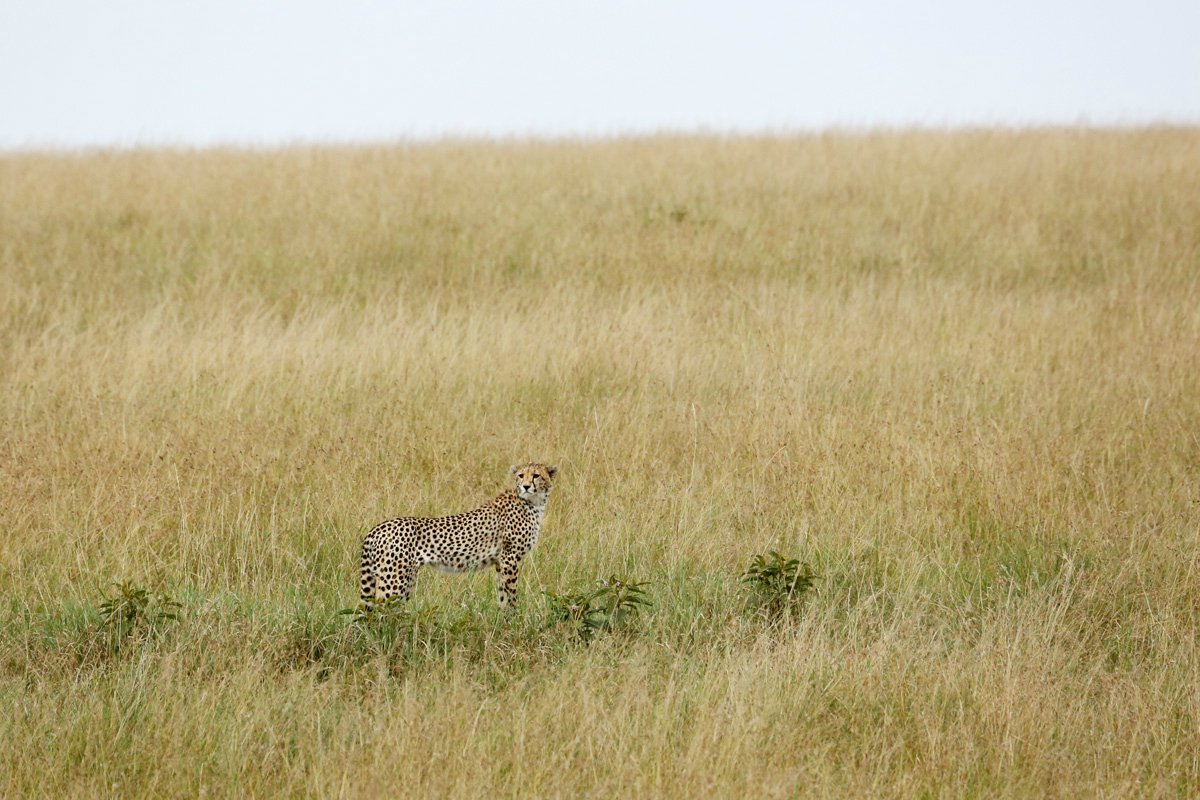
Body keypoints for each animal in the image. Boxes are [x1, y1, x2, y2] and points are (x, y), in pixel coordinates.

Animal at [359, 463, 558, 611]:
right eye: (521, 475)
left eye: (536, 476)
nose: (526, 486)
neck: (533, 503)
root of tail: (378, 527)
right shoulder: (510, 558)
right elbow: (512, 594)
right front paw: (515, 619)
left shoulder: (501, 561)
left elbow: (502, 593)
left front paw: (503, 620)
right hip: (394, 581)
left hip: (404, 580)